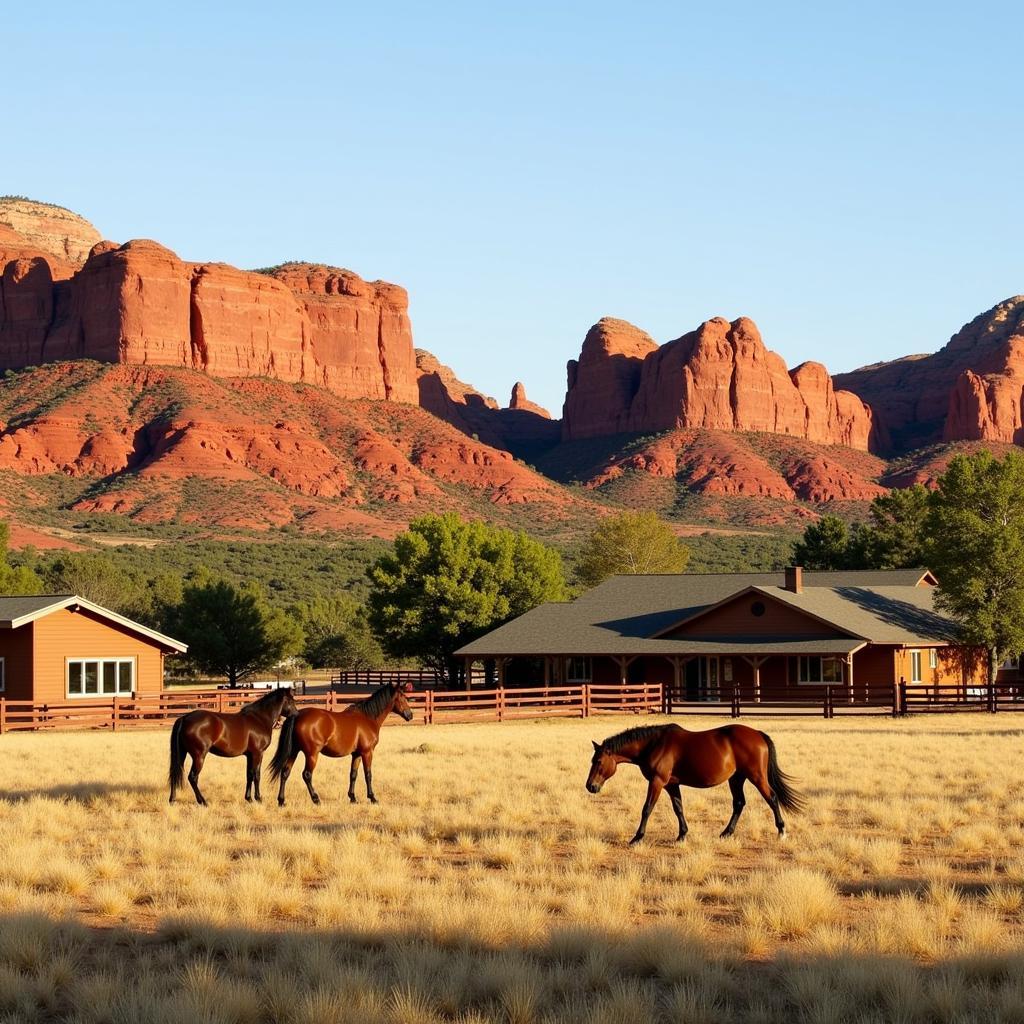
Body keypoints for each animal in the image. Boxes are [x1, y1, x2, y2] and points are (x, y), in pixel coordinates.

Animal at [166, 688, 296, 806]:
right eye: (290, 700)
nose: (296, 714)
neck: (259, 719)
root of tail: (184, 718)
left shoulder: (249, 755)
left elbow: (249, 775)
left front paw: (249, 798)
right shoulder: (258, 753)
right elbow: (256, 775)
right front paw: (258, 798)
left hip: (182, 754)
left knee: (175, 774)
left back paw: (172, 800)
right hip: (199, 756)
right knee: (193, 777)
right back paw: (203, 801)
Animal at [272, 684, 415, 802]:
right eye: (402, 698)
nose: (410, 715)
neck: (368, 718)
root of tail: (297, 715)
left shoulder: (356, 754)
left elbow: (353, 774)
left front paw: (352, 797)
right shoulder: (367, 752)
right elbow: (368, 774)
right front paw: (372, 797)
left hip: (294, 751)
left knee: (285, 773)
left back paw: (281, 801)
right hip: (311, 754)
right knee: (307, 775)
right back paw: (315, 798)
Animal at [585, 716, 798, 843]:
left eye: (598, 761)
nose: (590, 786)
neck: (654, 744)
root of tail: (758, 735)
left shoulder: (657, 782)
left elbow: (647, 809)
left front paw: (637, 837)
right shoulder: (671, 784)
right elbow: (678, 808)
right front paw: (682, 834)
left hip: (756, 776)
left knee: (772, 798)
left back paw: (781, 832)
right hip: (736, 778)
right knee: (739, 803)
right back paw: (726, 833)